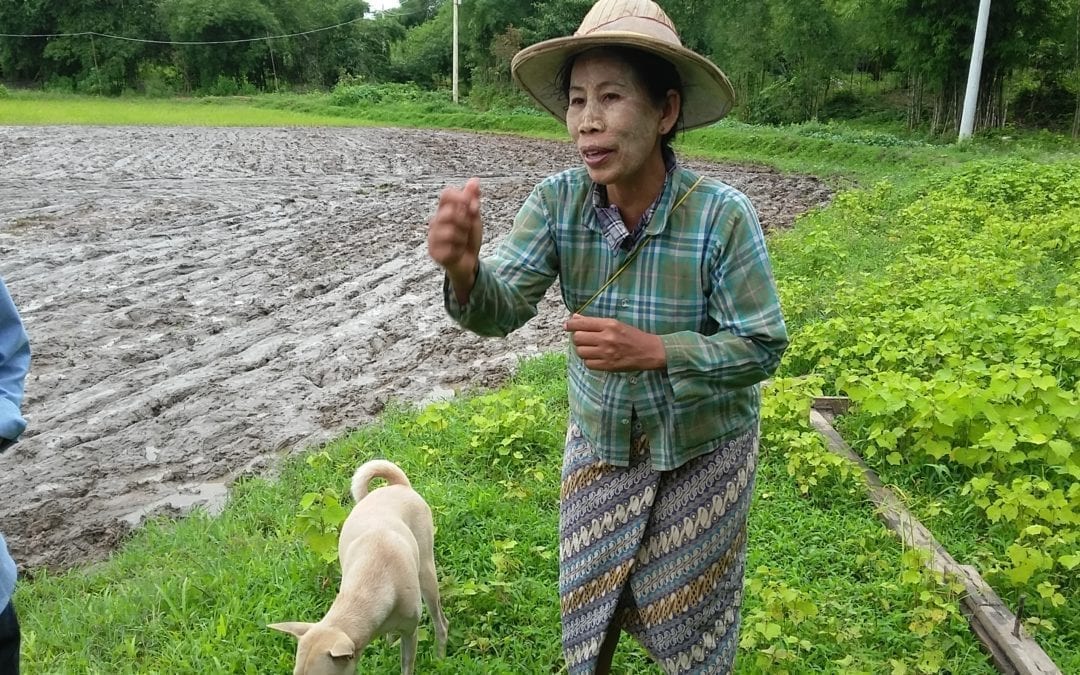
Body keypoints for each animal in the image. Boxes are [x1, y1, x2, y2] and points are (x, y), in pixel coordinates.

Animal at [272, 460, 453, 669]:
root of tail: (398, 485)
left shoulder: (410, 632)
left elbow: (407, 663)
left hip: (426, 573)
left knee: (440, 621)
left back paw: (440, 656)